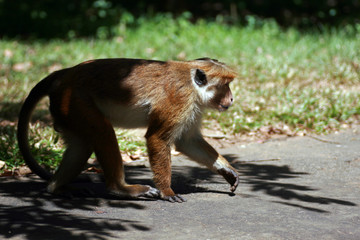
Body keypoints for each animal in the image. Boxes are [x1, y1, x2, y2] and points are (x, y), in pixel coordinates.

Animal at [18, 57, 240, 202]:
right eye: (224, 86)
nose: (231, 98)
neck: (192, 84)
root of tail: (65, 74)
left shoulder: (193, 107)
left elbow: (186, 141)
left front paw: (226, 170)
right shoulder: (180, 100)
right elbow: (157, 138)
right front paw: (167, 191)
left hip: (67, 108)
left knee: (82, 145)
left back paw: (56, 188)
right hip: (73, 100)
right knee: (103, 133)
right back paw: (121, 189)